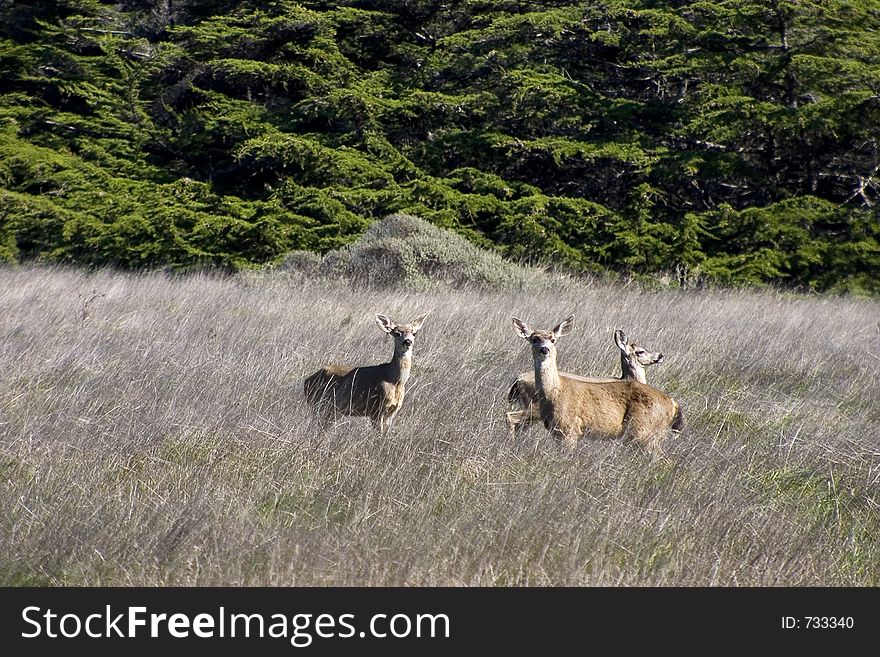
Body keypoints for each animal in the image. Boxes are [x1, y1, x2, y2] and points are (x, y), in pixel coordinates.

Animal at [302, 312, 430, 436]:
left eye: (414, 333)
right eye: (397, 333)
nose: (407, 341)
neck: (395, 381)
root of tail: (306, 381)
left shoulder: (392, 411)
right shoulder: (376, 408)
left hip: (332, 410)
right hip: (319, 404)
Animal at [508, 316, 680, 458]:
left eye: (553, 339)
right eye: (534, 339)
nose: (660, 356)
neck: (556, 391)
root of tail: (673, 403)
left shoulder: (568, 431)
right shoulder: (568, 431)